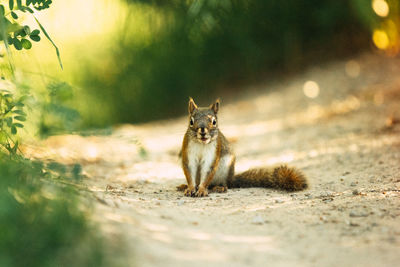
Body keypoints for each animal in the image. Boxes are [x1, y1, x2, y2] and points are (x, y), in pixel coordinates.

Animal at [177, 97, 308, 198]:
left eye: (214, 121)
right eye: (191, 121)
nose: (203, 131)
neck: (202, 144)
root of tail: (232, 179)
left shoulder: (213, 154)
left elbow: (208, 172)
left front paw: (202, 190)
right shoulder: (188, 153)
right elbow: (189, 171)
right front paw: (190, 188)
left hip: (225, 169)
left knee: (223, 184)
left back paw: (219, 187)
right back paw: (185, 186)